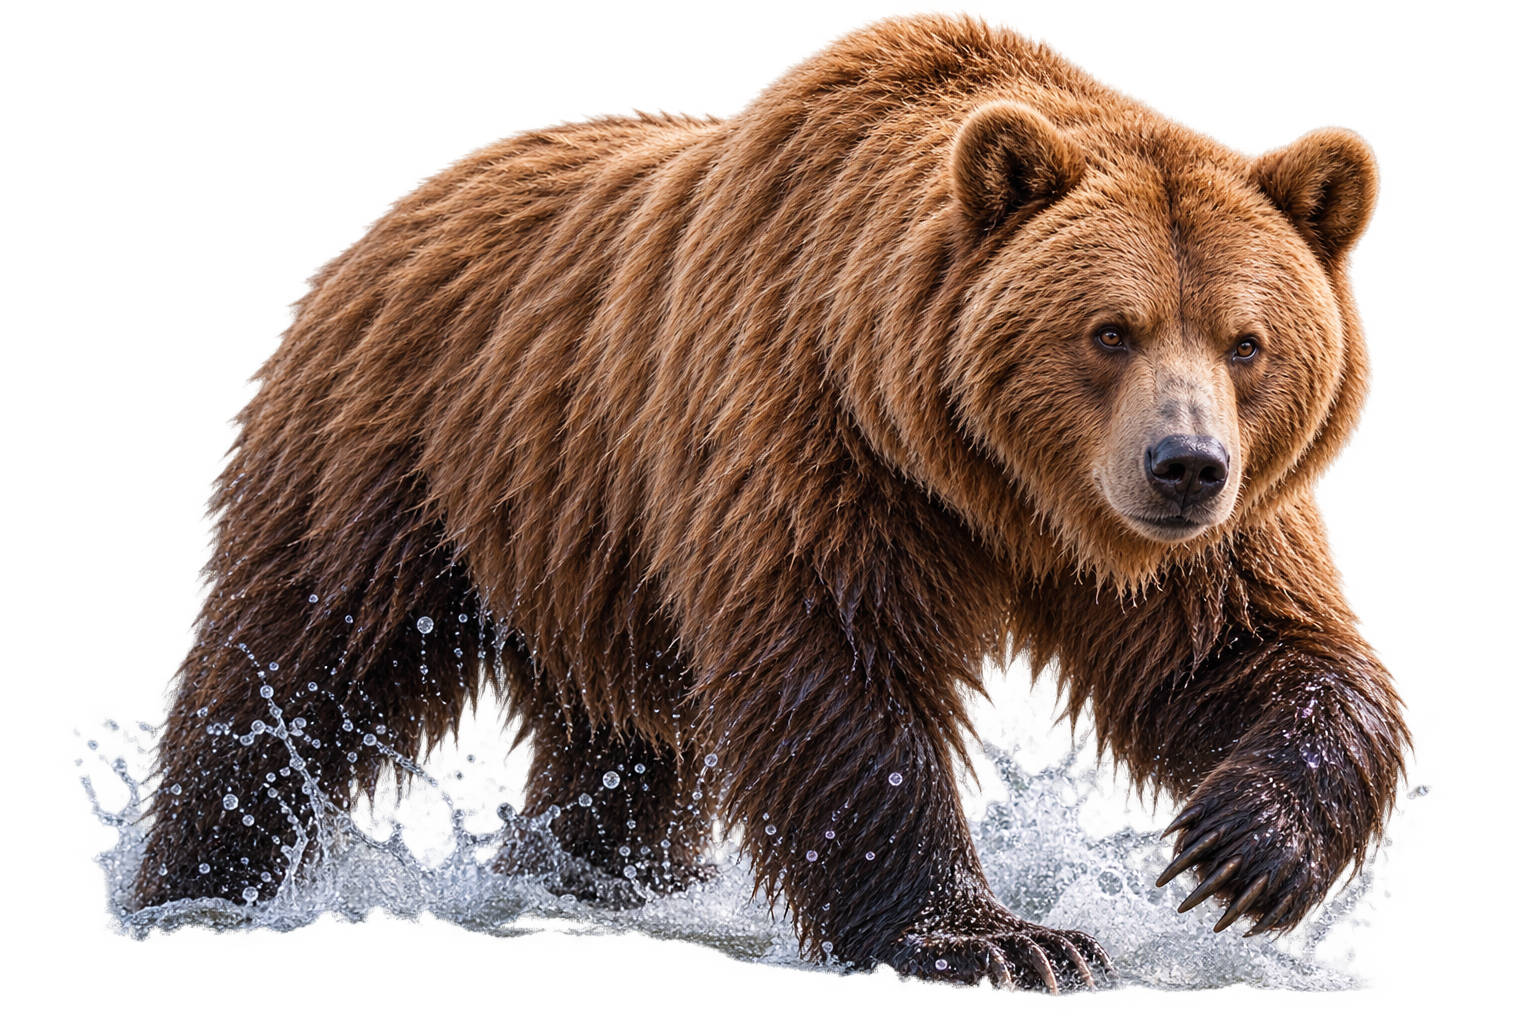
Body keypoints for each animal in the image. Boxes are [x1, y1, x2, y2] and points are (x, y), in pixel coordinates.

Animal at [135, 14, 1407, 991]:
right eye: (1110, 330)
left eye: (1247, 342)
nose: (1185, 465)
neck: (986, 479)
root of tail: (413, 201)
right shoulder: (813, 433)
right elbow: (835, 670)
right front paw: (999, 939)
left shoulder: (1191, 536)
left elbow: (1248, 647)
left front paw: (1240, 850)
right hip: (396, 457)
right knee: (289, 675)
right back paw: (194, 883)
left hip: (590, 548)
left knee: (622, 748)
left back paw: (593, 881)